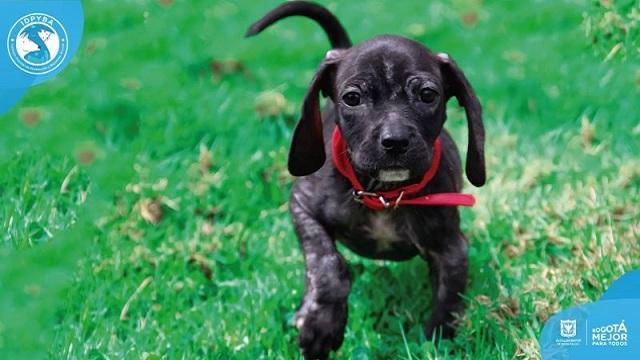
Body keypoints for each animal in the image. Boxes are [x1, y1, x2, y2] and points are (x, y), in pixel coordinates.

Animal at [246, 1, 484, 358]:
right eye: (353, 98)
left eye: (428, 95)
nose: (395, 141)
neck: (384, 194)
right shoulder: (302, 207)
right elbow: (326, 266)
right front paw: (322, 326)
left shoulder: (452, 250)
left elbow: (448, 302)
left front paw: (436, 343)